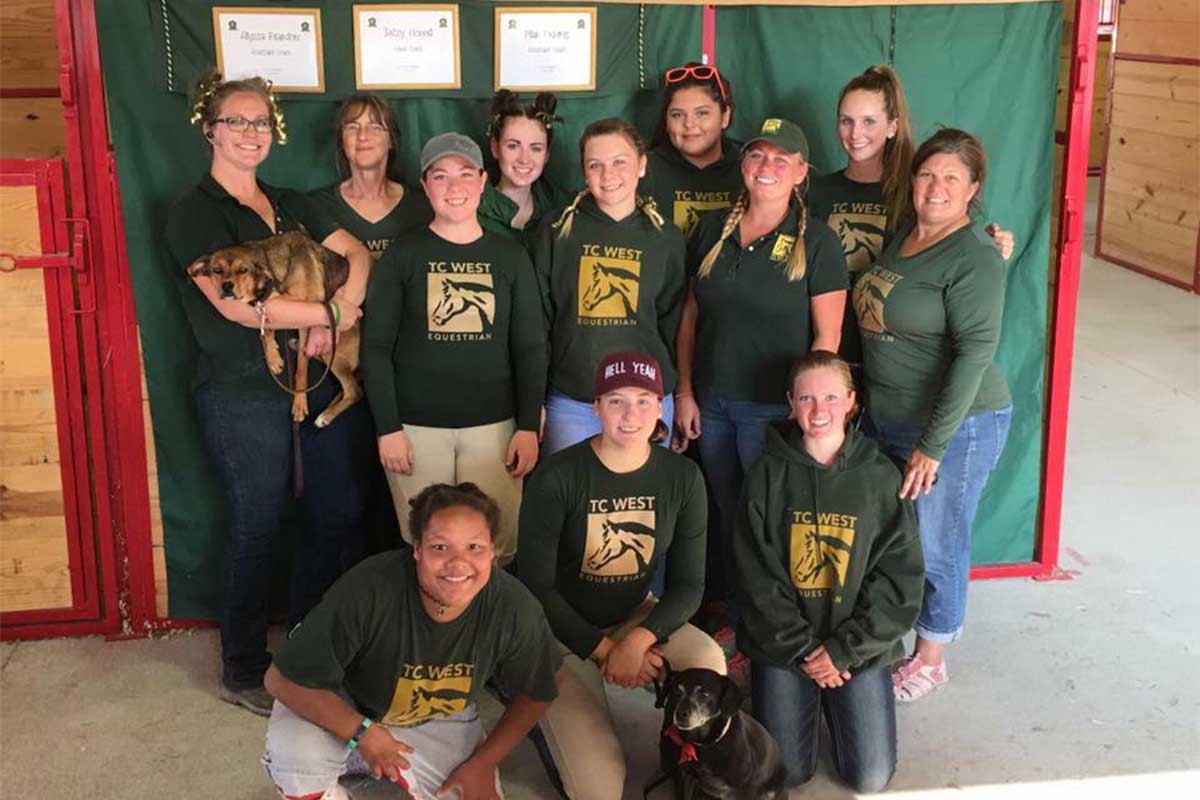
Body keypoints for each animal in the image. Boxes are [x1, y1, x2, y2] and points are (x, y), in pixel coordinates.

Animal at [188, 231, 360, 429]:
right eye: (216, 270)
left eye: (243, 270)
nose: (227, 287)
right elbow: (267, 327)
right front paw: (273, 358)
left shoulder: (307, 309)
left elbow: (300, 370)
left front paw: (299, 403)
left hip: (333, 355)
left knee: (354, 391)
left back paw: (326, 415)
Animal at [657, 666, 787, 796]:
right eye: (677, 693)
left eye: (704, 694)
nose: (680, 714)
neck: (706, 745)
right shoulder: (685, 778)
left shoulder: (745, 788)